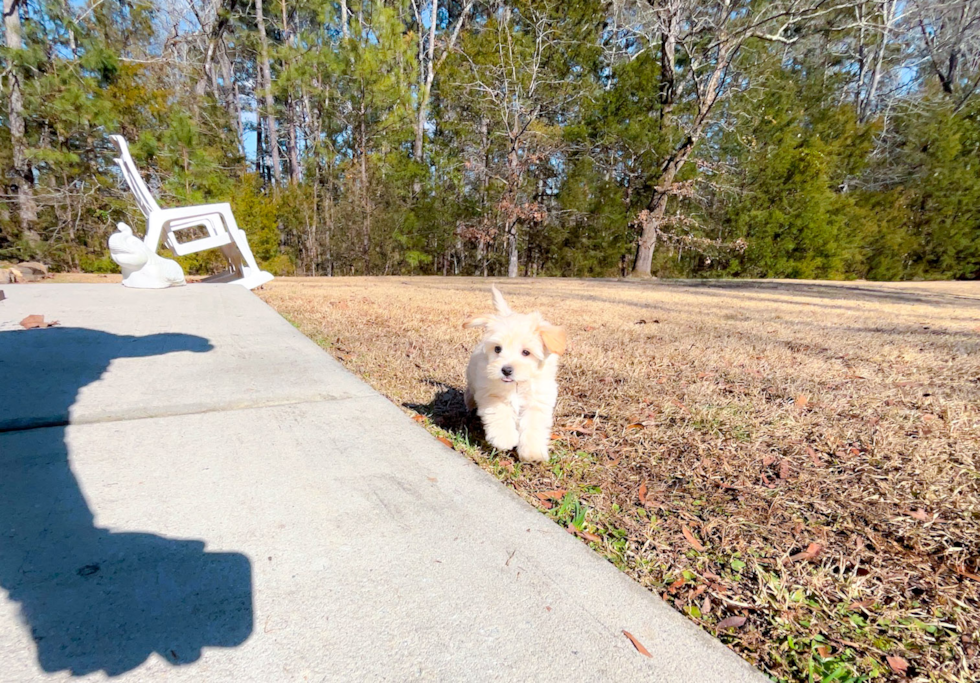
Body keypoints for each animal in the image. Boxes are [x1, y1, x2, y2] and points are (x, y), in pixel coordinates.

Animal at [466, 286, 568, 462]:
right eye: (497, 349)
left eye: (526, 352)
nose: (506, 370)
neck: (517, 385)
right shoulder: (491, 394)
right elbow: (499, 413)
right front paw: (504, 438)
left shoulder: (537, 402)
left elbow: (533, 426)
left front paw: (533, 452)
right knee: (470, 391)